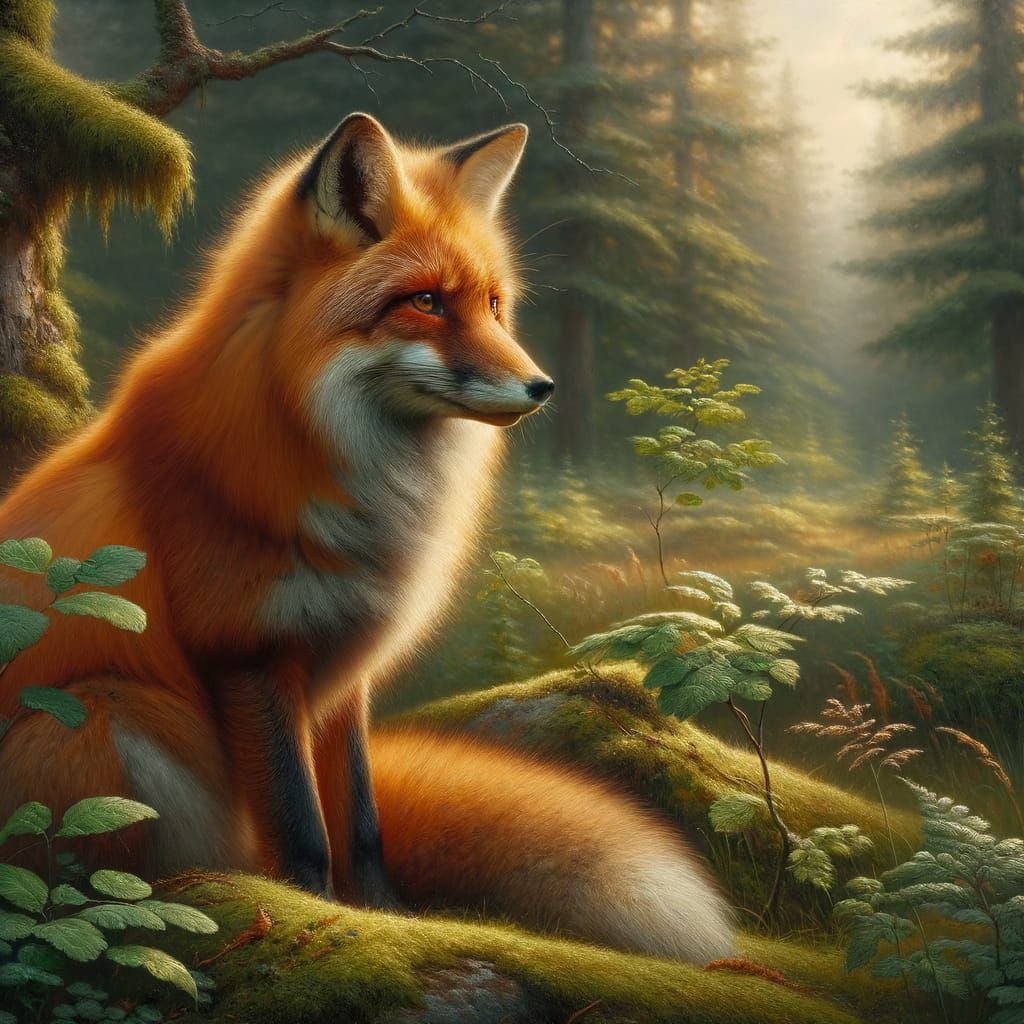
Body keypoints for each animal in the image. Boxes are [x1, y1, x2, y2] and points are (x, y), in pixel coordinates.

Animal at [0, 113, 734, 963]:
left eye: (493, 304)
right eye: (425, 302)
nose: (542, 386)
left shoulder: (346, 664)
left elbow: (362, 822)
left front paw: (385, 917)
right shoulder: (249, 651)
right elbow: (302, 828)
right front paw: (308, 915)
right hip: (89, 717)